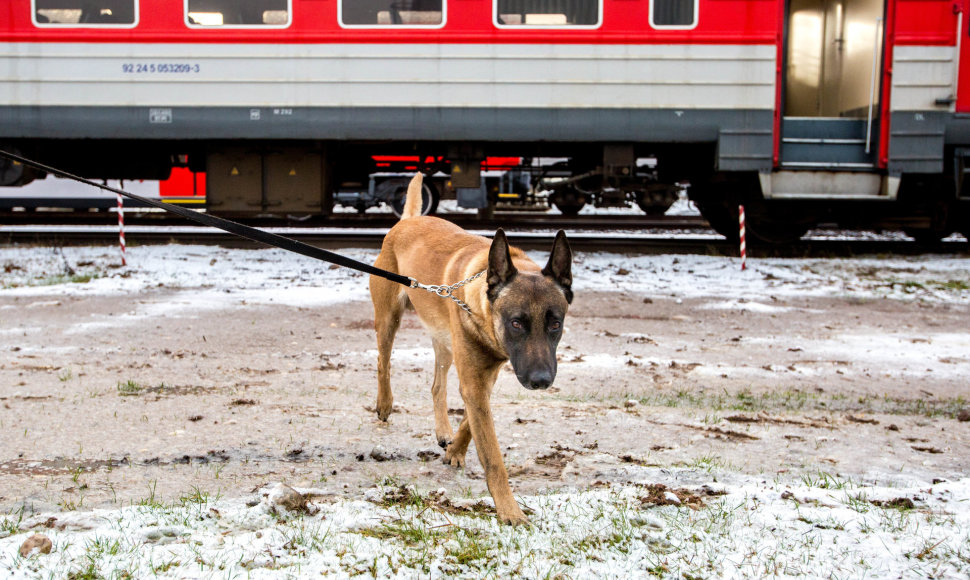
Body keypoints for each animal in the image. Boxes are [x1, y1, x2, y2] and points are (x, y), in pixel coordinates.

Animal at [366, 174, 572, 524]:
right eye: (517, 323)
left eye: (555, 323)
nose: (541, 381)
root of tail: (407, 221)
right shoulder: (475, 382)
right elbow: (492, 456)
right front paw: (509, 511)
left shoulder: (483, 378)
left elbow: (470, 423)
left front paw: (455, 450)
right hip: (389, 318)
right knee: (383, 363)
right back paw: (384, 404)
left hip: (445, 343)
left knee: (437, 385)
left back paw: (442, 430)